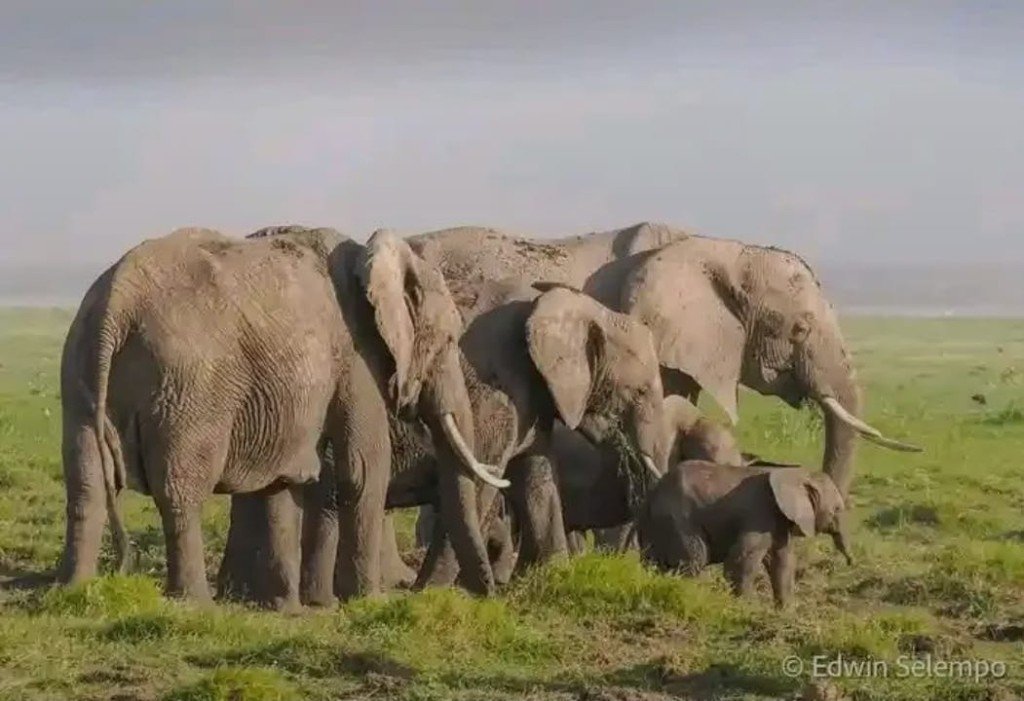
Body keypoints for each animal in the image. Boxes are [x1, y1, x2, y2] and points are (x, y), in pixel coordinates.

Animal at [58, 226, 494, 606]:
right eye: (449, 340)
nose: (488, 592)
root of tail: (117, 300)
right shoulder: (356, 356)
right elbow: (364, 468)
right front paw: (369, 601)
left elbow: (282, 480)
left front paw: (289, 608)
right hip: (187, 387)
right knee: (181, 490)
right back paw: (195, 604)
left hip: (79, 368)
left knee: (85, 484)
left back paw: (73, 590)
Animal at [637, 461, 852, 608]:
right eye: (837, 509)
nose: (851, 562)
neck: (793, 473)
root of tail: (652, 494)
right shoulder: (760, 515)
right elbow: (740, 560)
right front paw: (747, 608)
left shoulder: (777, 519)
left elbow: (782, 562)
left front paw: (786, 612)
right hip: (678, 521)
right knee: (693, 561)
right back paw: (690, 596)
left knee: (653, 563)